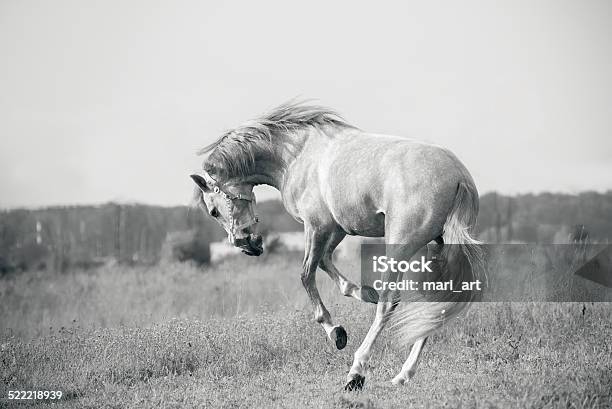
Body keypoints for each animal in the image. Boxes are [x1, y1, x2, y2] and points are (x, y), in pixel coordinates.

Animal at [191, 101, 482, 388]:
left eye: (213, 211)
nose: (246, 246)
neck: (296, 156)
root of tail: (459, 177)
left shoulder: (317, 226)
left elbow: (307, 274)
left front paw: (335, 332)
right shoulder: (337, 228)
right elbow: (325, 263)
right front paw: (361, 293)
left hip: (401, 247)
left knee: (389, 303)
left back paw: (357, 372)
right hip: (436, 248)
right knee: (435, 305)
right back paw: (402, 375)